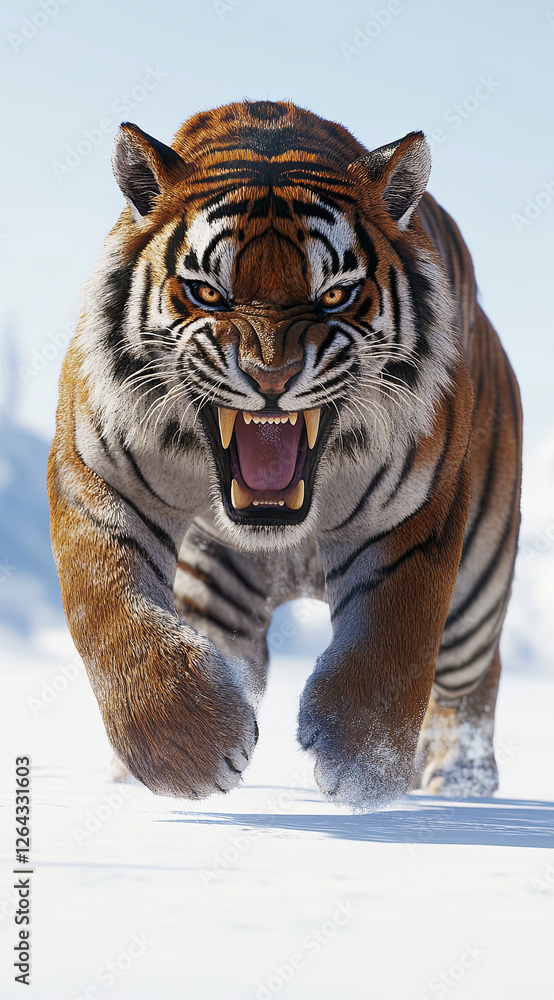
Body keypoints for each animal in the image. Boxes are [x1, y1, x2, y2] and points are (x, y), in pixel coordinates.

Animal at [47, 100, 522, 810]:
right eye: (208, 293)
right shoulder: (93, 476)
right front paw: (188, 751)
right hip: (217, 583)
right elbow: (110, 609)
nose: (271, 376)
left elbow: (395, 637)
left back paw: (460, 781)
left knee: (473, 671)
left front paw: (362, 764)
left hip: (476, 593)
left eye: (334, 296)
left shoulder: (416, 509)